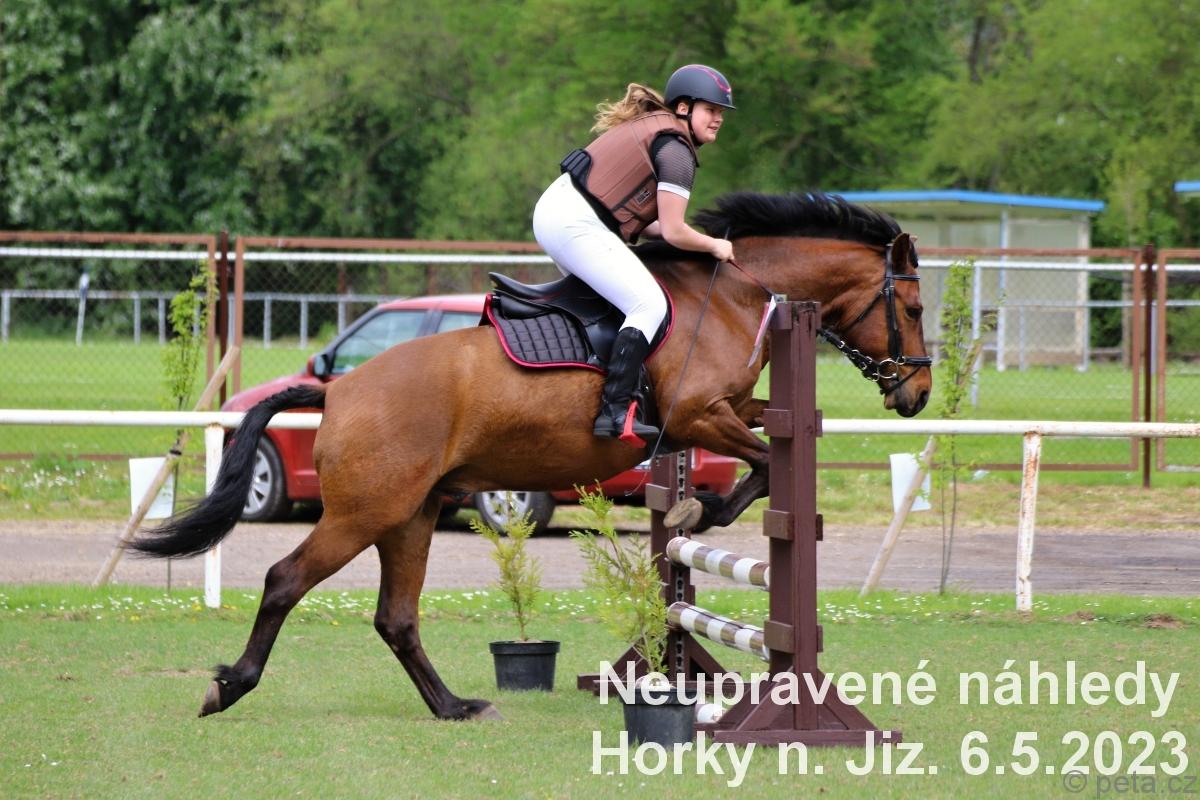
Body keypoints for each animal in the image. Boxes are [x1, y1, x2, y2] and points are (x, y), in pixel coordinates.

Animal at [132, 191, 932, 722]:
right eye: (916, 309)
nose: (918, 392)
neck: (737, 290)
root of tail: (341, 389)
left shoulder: (726, 412)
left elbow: (769, 443)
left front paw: (697, 509)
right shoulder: (697, 414)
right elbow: (765, 465)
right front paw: (701, 512)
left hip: (410, 516)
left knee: (396, 617)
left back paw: (454, 706)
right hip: (365, 512)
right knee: (284, 580)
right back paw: (229, 685)